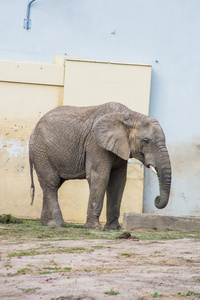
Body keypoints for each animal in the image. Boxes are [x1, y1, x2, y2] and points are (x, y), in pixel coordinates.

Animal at [28, 102, 172, 229]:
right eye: (145, 141)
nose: (157, 199)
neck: (128, 115)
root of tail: (33, 130)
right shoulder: (95, 143)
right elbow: (99, 176)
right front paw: (94, 227)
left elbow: (118, 181)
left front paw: (114, 228)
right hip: (41, 152)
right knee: (51, 183)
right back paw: (58, 225)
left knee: (53, 185)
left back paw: (47, 223)